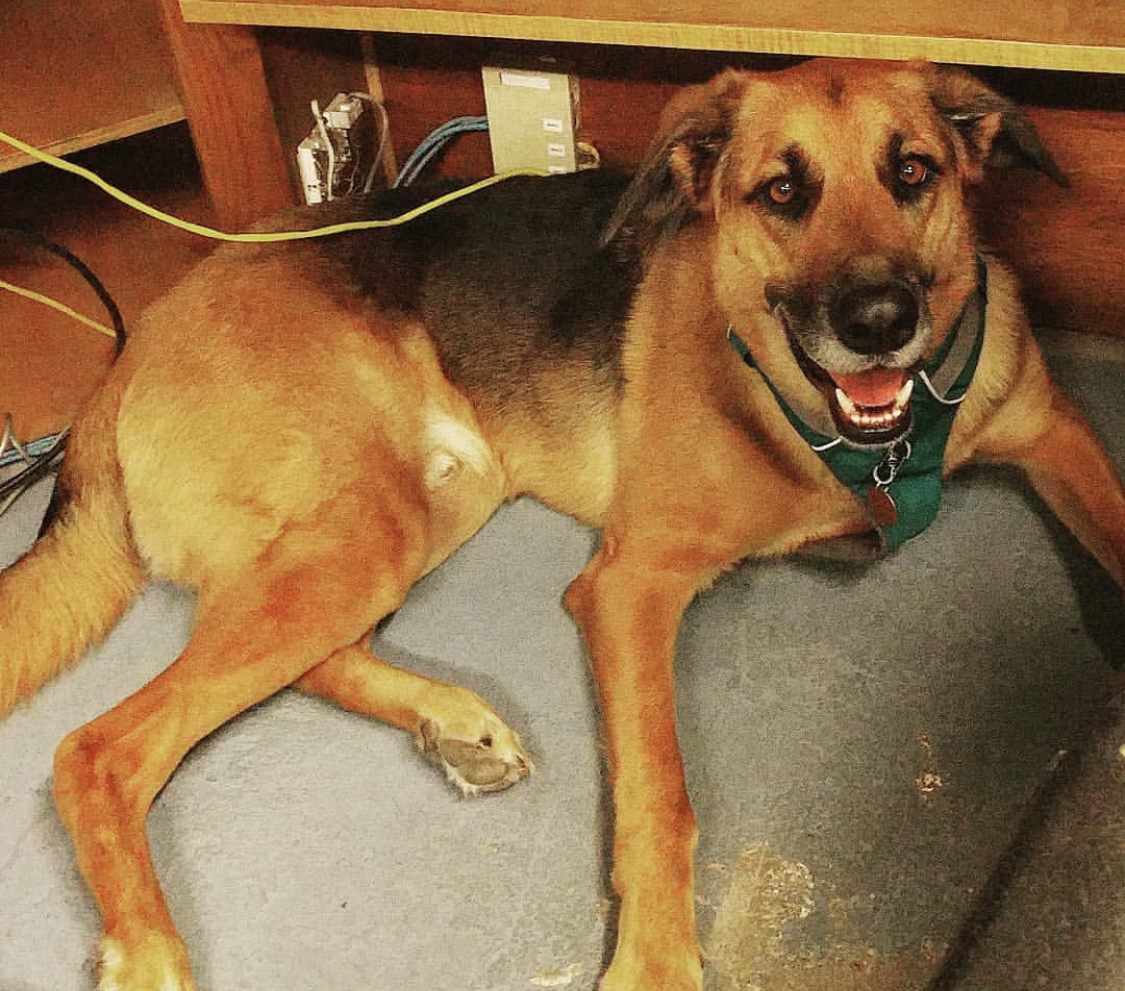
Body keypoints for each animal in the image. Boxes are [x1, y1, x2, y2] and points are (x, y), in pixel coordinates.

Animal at [2, 57, 1125, 985]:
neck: (855, 444)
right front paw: (656, 965)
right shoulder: (630, 586)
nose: (881, 322)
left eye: (913, 172)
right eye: (782, 191)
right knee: (100, 749)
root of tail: (131, 342)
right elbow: (660, 796)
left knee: (291, 653)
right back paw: (150, 947)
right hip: (363, 525)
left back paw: (449, 721)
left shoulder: (1058, 432)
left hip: (423, 505)